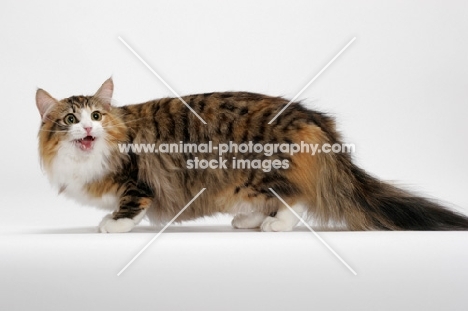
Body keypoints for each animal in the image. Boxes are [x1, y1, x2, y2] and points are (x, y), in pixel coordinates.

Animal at [34, 79, 468, 233]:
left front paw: (114, 224)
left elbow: (130, 206)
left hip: (260, 171)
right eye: (70, 119)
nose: (88, 129)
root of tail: (309, 117)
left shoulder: (137, 182)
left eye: (97, 116)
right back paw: (250, 220)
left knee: (295, 197)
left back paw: (276, 224)